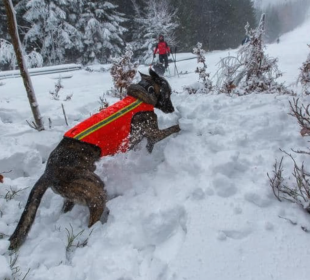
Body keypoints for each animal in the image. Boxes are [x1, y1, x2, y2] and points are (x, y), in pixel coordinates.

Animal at [8, 68, 180, 249]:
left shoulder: (147, 138)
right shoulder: (153, 133)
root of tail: (48, 172)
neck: (146, 92)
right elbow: (173, 129)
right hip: (95, 191)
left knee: (67, 209)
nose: (172, 109)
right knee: (91, 221)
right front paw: (182, 125)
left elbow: (149, 147)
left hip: (74, 194)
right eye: (168, 93)